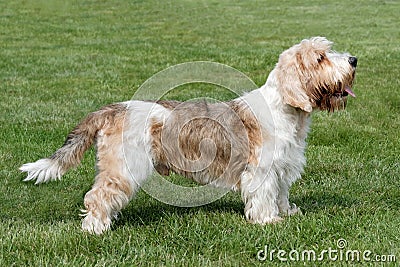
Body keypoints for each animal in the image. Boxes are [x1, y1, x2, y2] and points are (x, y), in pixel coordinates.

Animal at [19, 37, 356, 234]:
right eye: (320, 58)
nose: (354, 60)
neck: (285, 109)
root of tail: (114, 109)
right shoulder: (260, 171)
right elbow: (263, 196)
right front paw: (267, 221)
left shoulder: (282, 168)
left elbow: (281, 194)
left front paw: (287, 213)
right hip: (124, 169)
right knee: (98, 196)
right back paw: (95, 229)